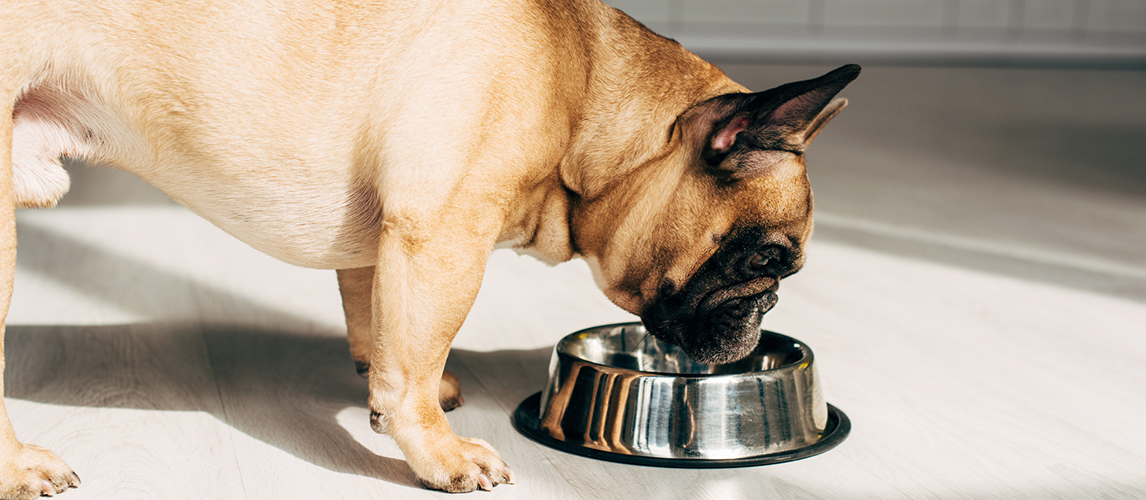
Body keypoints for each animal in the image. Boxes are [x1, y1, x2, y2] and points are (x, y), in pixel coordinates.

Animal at [0, 0, 857, 493]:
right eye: (766, 260)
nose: (765, 311)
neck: (584, 91)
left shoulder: (386, 240)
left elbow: (382, 329)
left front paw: (395, 397)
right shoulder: (443, 236)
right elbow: (416, 353)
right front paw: (437, 451)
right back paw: (22, 467)